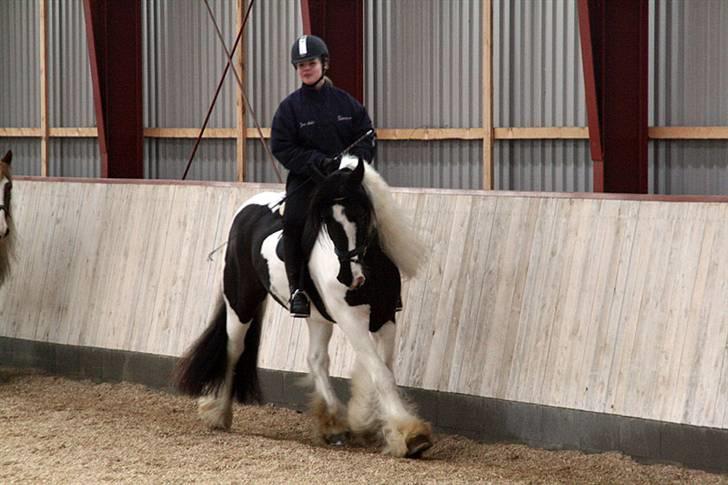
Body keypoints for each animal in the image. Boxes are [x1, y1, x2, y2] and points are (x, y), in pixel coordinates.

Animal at [175, 156, 432, 458]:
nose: (349, 277)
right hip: (241, 302)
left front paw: (366, 419)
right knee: (233, 349)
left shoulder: (385, 316)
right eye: (327, 221)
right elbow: (380, 372)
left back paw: (333, 424)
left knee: (316, 359)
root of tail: (246, 210)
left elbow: (383, 367)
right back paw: (219, 412)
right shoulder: (349, 317)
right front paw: (410, 435)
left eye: (361, 212)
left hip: (317, 316)